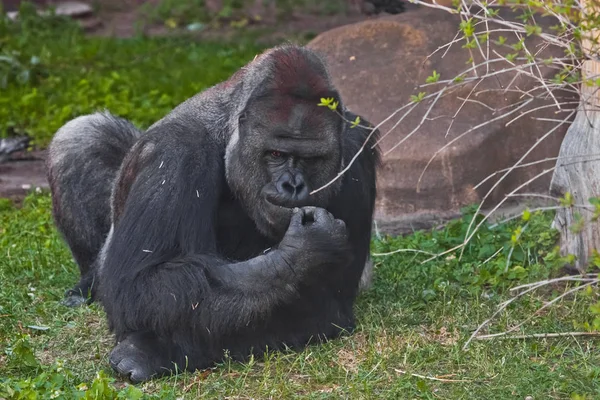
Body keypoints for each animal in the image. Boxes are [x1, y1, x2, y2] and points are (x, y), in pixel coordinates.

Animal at [48, 43, 384, 382]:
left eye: (312, 159)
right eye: (276, 154)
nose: (292, 185)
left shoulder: (356, 148)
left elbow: (328, 305)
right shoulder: (176, 152)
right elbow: (139, 283)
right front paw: (302, 253)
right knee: (81, 136)